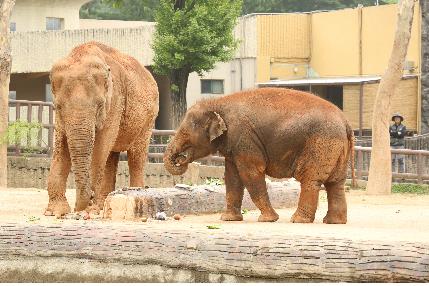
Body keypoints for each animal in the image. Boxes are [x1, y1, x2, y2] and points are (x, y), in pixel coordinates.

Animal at [43, 40, 159, 217]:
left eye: (99, 105)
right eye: (58, 106)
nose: (81, 205)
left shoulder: (115, 100)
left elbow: (101, 145)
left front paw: (89, 210)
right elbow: (61, 145)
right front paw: (55, 212)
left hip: (148, 119)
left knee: (136, 156)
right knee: (111, 156)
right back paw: (103, 202)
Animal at [164, 87, 354, 223]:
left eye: (186, 134)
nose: (180, 158)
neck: (218, 102)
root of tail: (346, 122)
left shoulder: (244, 137)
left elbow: (250, 174)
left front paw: (268, 219)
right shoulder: (235, 144)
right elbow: (232, 177)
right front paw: (228, 219)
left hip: (321, 143)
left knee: (310, 179)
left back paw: (298, 220)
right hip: (336, 147)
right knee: (336, 182)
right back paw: (333, 222)